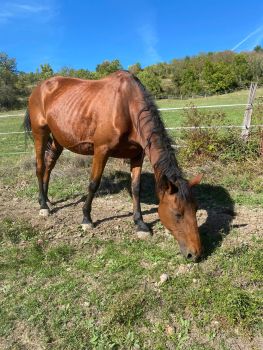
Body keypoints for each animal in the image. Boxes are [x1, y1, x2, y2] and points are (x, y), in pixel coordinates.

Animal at [23, 70, 203, 260]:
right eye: (177, 214)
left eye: (196, 209)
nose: (195, 254)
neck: (126, 105)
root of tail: (39, 88)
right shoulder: (101, 151)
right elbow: (93, 184)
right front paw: (86, 219)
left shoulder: (137, 155)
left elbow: (136, 188)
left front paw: (140, 224)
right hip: (40, 133)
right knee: (40, 167)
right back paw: (43, 206)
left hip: (58, 139)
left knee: (49, 165)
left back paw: (46, 200)